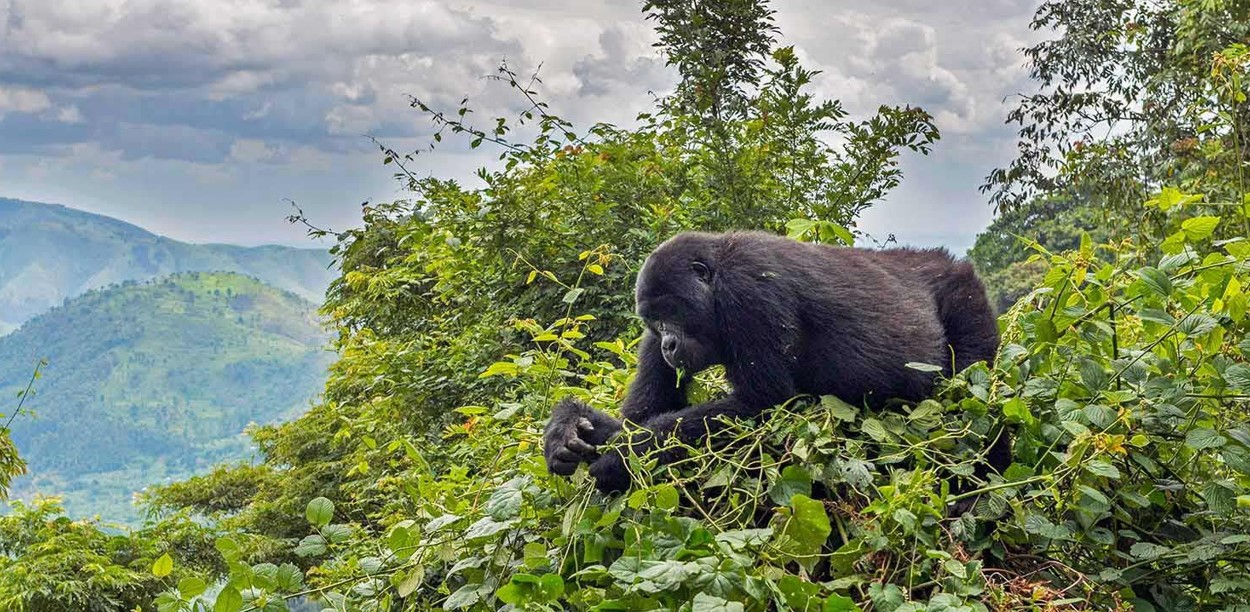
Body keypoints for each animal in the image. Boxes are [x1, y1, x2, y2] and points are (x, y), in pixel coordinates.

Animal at [542, 229, 1000, 492]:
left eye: (671, 313)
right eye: (654, 321)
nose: (669, 344)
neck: (716, 272)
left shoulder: (748, 290)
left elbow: (763, 404)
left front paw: (618, 458)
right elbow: (643, 413)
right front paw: (570, 426)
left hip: (967, 300)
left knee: (972, 407)